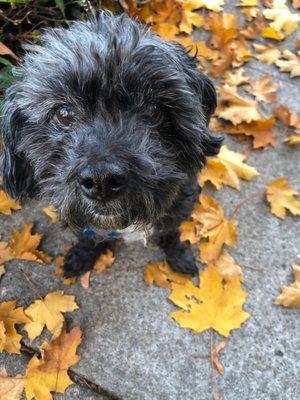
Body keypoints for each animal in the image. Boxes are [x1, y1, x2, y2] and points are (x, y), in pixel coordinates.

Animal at [0, 11, 220, 276]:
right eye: (63, 113)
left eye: (154, 111)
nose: (101, 180)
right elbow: (87, 235)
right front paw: (82, 256)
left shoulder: (179, 205)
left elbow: (170, 233)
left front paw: (178, 255)